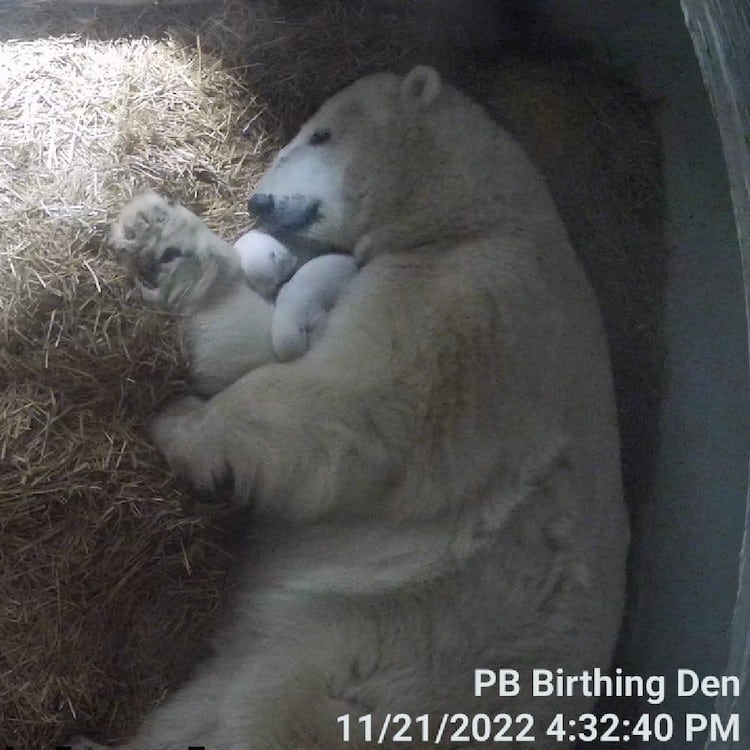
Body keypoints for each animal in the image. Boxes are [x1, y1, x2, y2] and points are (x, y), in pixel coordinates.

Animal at [75, 67, 628, 748]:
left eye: (321, 134)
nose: (259, 203)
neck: (478, 214)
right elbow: (264, 348)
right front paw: (160, 233)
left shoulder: (480, 295)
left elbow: (346, 397)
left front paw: (181, 425)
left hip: (380, 651)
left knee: (267, 705)